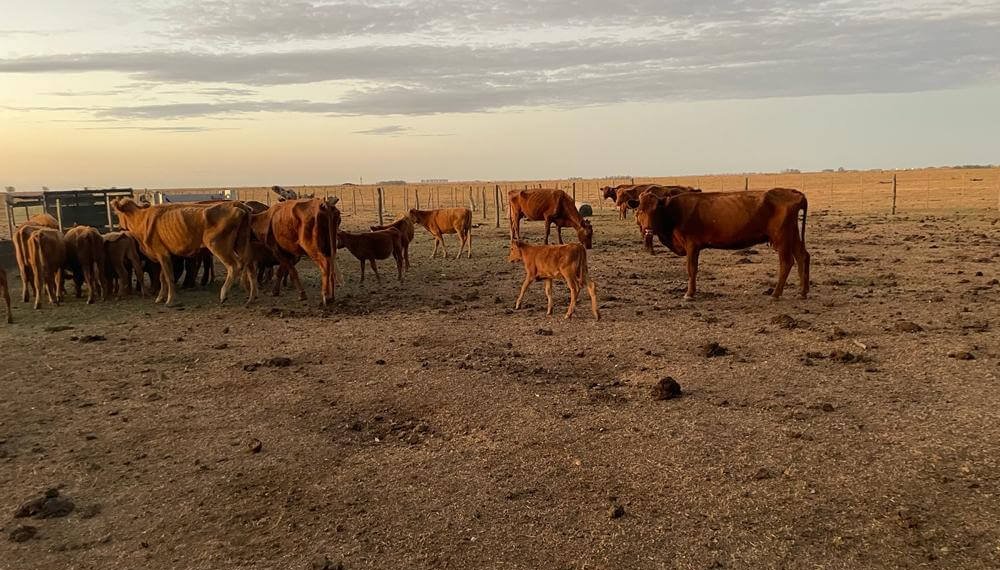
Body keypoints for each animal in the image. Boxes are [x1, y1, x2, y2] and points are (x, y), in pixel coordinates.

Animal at [111, 198, 258, 306]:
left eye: (117, 214)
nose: (118, 227)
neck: (141, 218)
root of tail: (235, 203)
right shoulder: (165, 255)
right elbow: (163, 277)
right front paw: (160, 298)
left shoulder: (162, 253)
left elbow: (168, 277)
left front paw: (170, 300)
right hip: (241, 243)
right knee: (250, 267)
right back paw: (252, 297)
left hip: (218, 245)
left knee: (234, 266)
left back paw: (224, 294)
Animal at [632, 188, 810, 300]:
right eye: (640, 211)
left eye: (655, 210)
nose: (648, 229)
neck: (675, 212)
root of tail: (793, 192)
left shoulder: (692, 245)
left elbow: (691, 269)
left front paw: (689, 294)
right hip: (792, 235)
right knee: (802, 257)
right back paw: (803, 291)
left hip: (782, 238)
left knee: (787, 262)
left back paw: (776, 294)